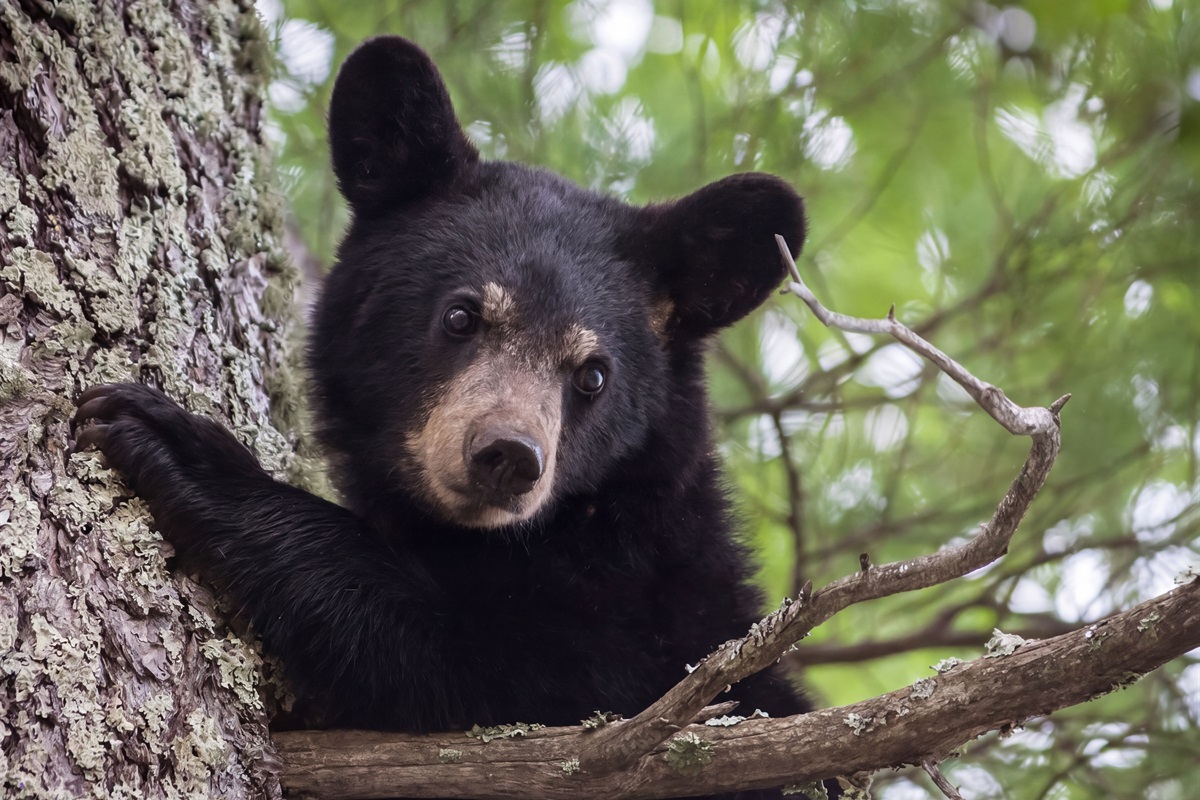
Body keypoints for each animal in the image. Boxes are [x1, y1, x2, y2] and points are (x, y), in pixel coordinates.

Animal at [72, 36, 822, 798]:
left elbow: (462, 659)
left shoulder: (636, 650)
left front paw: (186, 452)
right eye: (461, 315)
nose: (508, 455)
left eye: (593, 374)